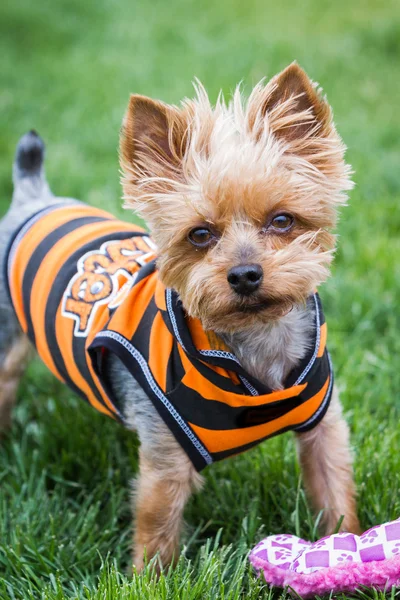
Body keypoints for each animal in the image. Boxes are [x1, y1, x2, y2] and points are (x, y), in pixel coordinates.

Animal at [0, 62, 360, 572]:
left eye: (283, 221)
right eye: (200, 234)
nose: (245, 274)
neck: (251, 345)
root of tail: (34, 197)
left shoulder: (324, 428)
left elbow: (334, 491)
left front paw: (347, 550)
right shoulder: (165, 455)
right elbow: (157, 529)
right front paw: (148, 579)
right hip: (6, 346)